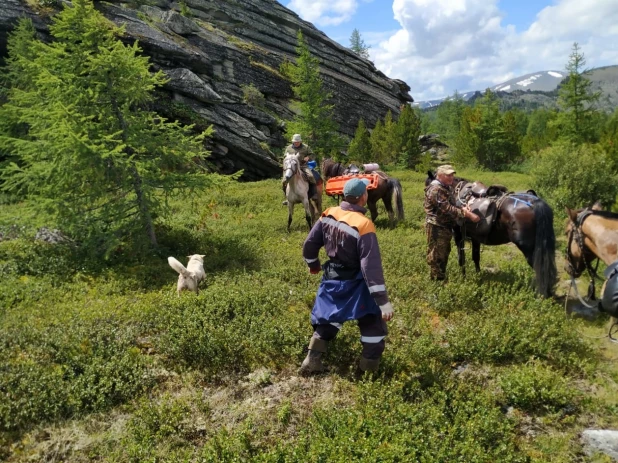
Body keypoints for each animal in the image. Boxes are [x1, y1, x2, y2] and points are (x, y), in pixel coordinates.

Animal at [426, 172, 556, 300]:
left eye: (427, 184)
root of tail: (537, 204)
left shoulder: (458, 236)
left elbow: (461, 259)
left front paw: (463, 278)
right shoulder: (475, 238)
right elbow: (476, 257)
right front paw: (478, 276)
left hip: (530, 250)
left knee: (542, 269)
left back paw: (543, 296)